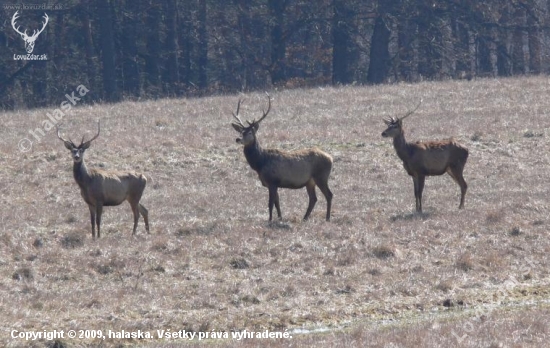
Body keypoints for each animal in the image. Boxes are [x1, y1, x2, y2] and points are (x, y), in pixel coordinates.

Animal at [232, 94, 334, 222]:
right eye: (241, 131)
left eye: (250, 132)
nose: (238, 139)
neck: (260, 163)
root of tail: (331, 158)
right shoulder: (273, 184)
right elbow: (277, 202)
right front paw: (280, 218)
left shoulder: (272, 181)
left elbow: (270, 203)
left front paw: (270, 220)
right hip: (310, 181)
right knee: (313, 198)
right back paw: (305, 218)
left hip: (321, 176)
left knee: (329, 195)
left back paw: (327, 218)